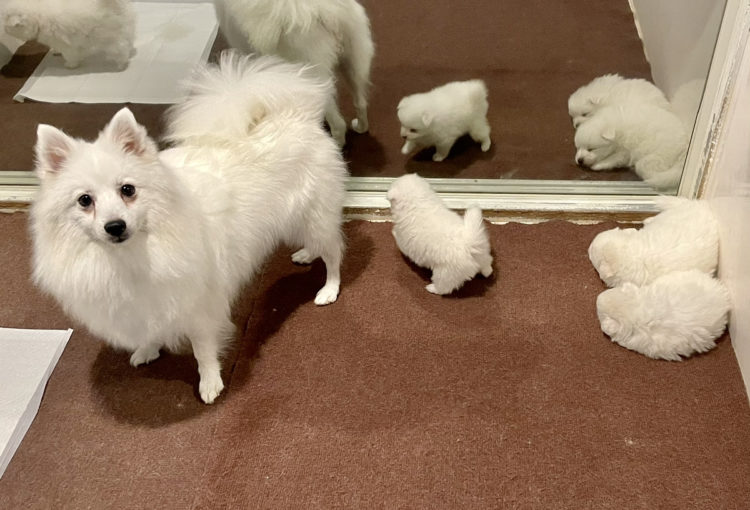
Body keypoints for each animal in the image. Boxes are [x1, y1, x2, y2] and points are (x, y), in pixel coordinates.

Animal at [2, 0, 135, 69]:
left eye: (6, 24)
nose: (3, 29)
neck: (38, 19)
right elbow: (57, 49)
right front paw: (55, 52)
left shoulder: (67, 46)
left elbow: (70, 56)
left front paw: (70, 65)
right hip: (126, 30)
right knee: (129, 41)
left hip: (111, 39)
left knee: (122, 50)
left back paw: (121, 65)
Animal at [29, 52, 348, 404]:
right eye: (85, 200)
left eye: (128, 190)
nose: (114, 226)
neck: (131, 256)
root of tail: (297, 115)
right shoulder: (148, 304)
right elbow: (151, 330)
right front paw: (148, 350)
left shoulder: (197, 304)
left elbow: (202, 350)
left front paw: (210, 383)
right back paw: (306, 254)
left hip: (315, 216)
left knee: (334, 253)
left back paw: (328, 289)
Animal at [212, 0, 374, 146]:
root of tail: (326, 14)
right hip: (353, 62)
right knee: (360, 102)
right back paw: (360, 127)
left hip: (314, 77)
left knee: (339, 124)